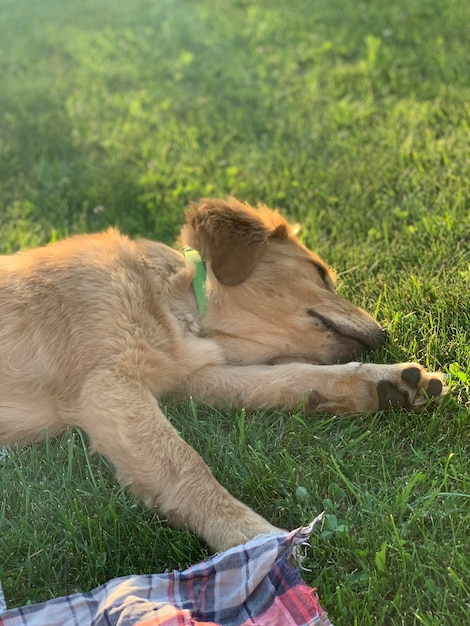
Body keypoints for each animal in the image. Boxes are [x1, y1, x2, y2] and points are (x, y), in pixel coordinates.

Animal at [0, 197, 444, 548]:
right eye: (319, 272)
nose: (385, 335)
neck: (173, 302)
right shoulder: (108, 384)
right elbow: (185, 463)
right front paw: (251, 539)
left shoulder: (190, 377)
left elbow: (291, 378)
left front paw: (382, 381)